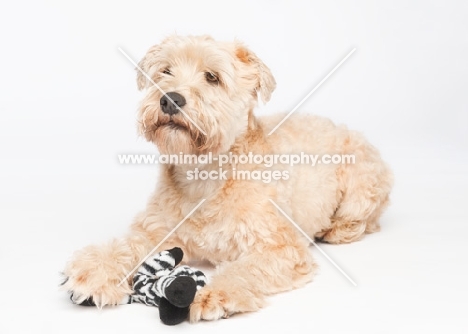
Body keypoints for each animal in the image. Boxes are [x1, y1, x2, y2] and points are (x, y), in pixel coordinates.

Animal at [61, 35, 392, 322]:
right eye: (165, 70)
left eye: (212, 77)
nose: (169, 100)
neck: (204, 175)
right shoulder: (156, 231)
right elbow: (128, 246)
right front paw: (94, 271)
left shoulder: (279, 248)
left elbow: (245, 269)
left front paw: (215, 293)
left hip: (362, 184)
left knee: (365, 219)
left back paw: (336, 229)